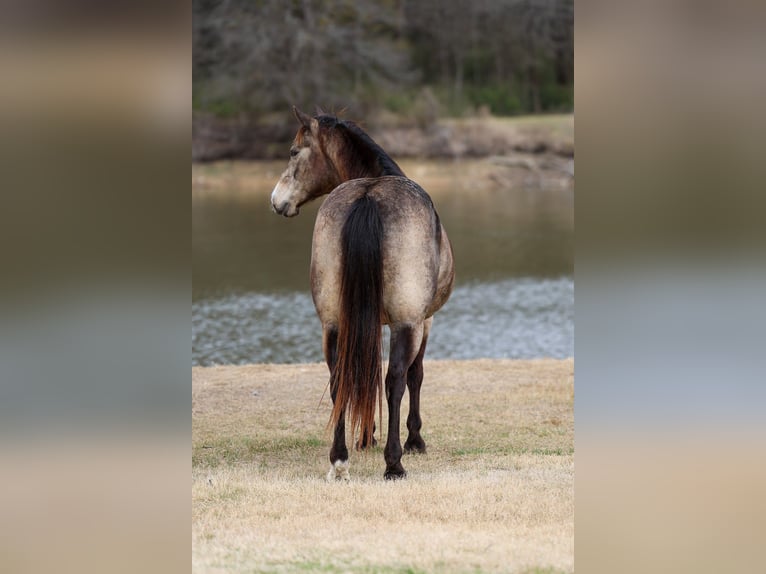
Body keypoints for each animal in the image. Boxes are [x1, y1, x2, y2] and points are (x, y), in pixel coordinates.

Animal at [271, 107, 454, 480]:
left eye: (294, 152)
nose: (276, 200)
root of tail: (369, 194)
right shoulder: (425, 320)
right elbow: (414, 375)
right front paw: (415, 440)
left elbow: (362, 373)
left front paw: (365, 436)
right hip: (406, 324)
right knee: (395, 379)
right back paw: (394, 463)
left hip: (333, 324)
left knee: (340, 377)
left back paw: (339, 460)